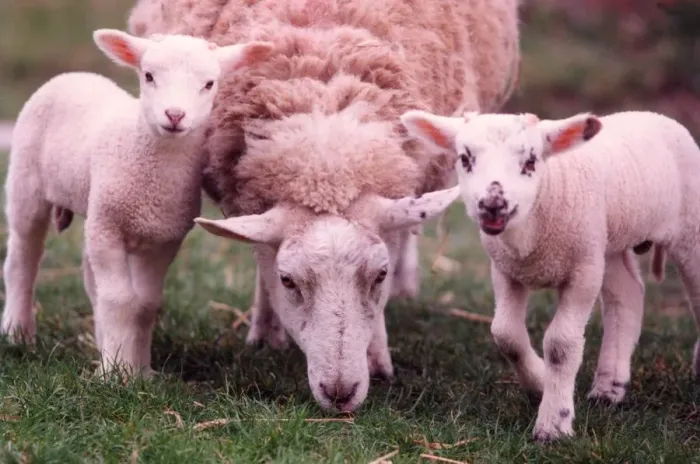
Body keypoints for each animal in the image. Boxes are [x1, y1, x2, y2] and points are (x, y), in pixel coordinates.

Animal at [0, 28, 273, 377]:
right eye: (149, 76)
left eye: (209, 83)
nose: (175, 115)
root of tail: (74, 75)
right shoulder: (109, 230)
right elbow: (120, 300)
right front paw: (114, 373)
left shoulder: (162, 240)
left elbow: (143, 304)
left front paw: (139, 371)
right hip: (27, 182)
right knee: (23, 257)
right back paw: (18, 334)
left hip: (93, 209)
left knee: (90, 281)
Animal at [125, 0, 521, 411]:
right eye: (288, 280)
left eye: (379, 274)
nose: (340, 394)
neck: (327, 155)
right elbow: (262, 259)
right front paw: (266, 332)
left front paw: (378, 356)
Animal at [400, 108, 700, 442]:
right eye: (465, 158)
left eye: (531, 161)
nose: (493, 204)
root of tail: (653, 114)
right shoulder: (506, 270)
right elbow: (506, 334)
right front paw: (540, 381)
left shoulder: (583, 273)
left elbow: (561, 344)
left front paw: (554, 424)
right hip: (606, 244)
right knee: (627, 296)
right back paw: (609, 388)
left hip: (687, 229)